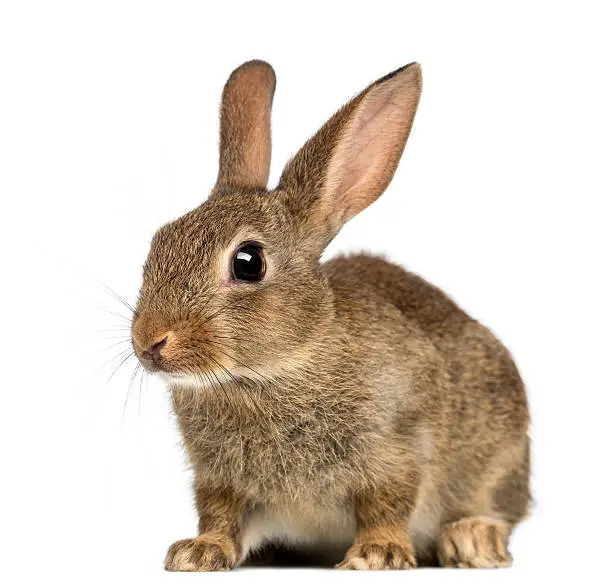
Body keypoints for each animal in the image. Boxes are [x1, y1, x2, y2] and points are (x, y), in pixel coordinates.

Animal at [130, 59, 532, 568]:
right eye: (159, 241)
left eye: (248, 262)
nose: (149, 341)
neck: (278, 369)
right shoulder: (219, 481)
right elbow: (219, 514)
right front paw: (198, 552)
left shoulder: (398, 447)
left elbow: (389, 502)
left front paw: (377, 554)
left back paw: (473, 538)